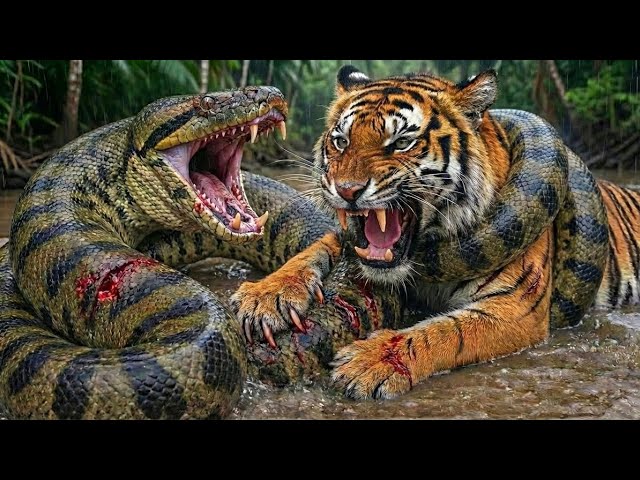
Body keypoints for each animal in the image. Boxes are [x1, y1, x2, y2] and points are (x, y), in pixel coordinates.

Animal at [230, 65, 640, 400]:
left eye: (401, 143)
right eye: (341, 141)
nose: (346, 190)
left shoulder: (517, 305)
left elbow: (447, 332)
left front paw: (373, 360)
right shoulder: (348, 242)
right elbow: (315, 248)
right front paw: (266, 296)